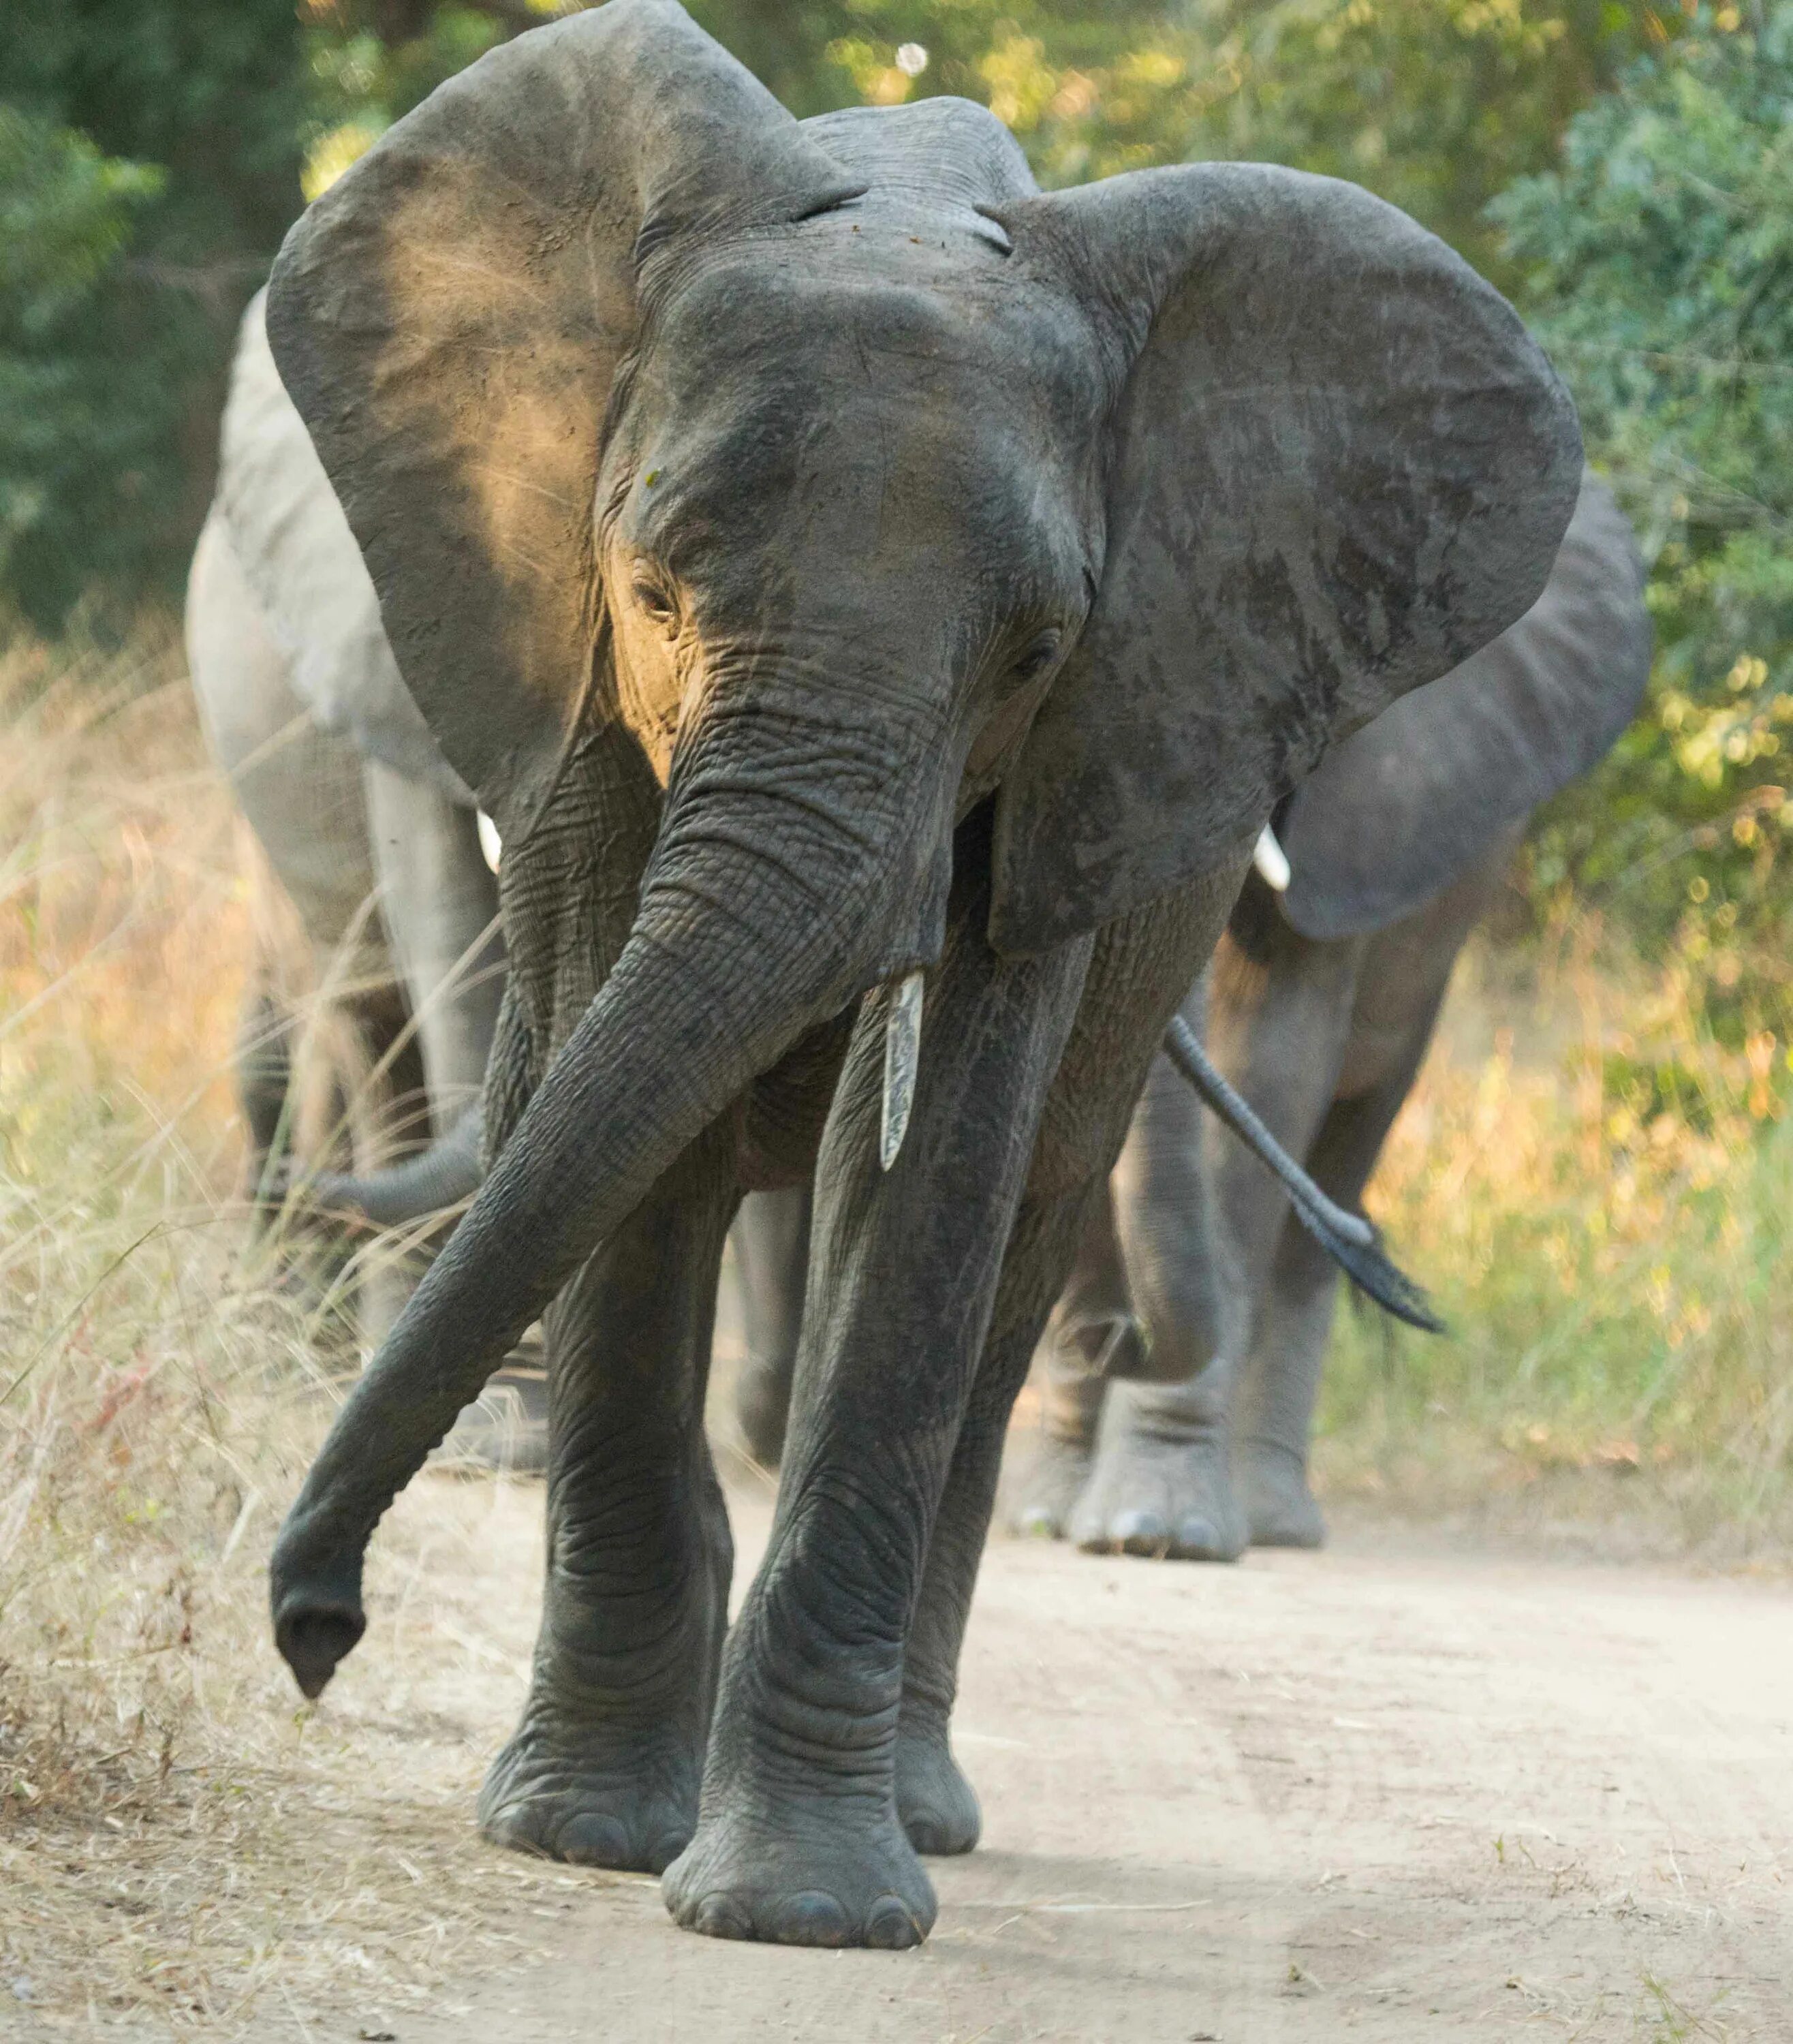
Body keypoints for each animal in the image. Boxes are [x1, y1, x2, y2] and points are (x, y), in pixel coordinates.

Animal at [258, 0, 1570, 1946]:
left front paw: (795, 1912)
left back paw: (927, 1806)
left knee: (1015, 1256)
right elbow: (627, 1162)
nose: (314, 1628)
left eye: (1037, 652)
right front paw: (582, 1839)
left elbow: (932, 1190)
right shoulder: (568, 718)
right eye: (652, 593)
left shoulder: (1085, 775)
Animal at [1014, 474, 1643, 1562]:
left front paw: (1162, 1532)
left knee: (1338, 1166)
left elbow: (1271, 1064)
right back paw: (1050, 1510)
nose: (1114, 1334)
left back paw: (1270, 1520)